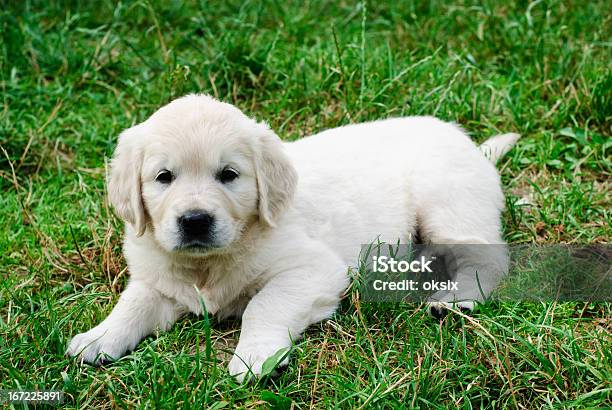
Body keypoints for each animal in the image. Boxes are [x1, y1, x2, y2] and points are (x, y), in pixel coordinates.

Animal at [65, 93, 516, 382]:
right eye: (163, 177)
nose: (194, 221)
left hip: (446, 205)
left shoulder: (314, 269)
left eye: (229, 175)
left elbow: (264, 305)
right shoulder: (157, 279)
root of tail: (470, 144)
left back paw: (455, 301)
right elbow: (133, 305)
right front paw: (98, 339)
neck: (210, 262)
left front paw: (255, 357)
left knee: (488, 260)